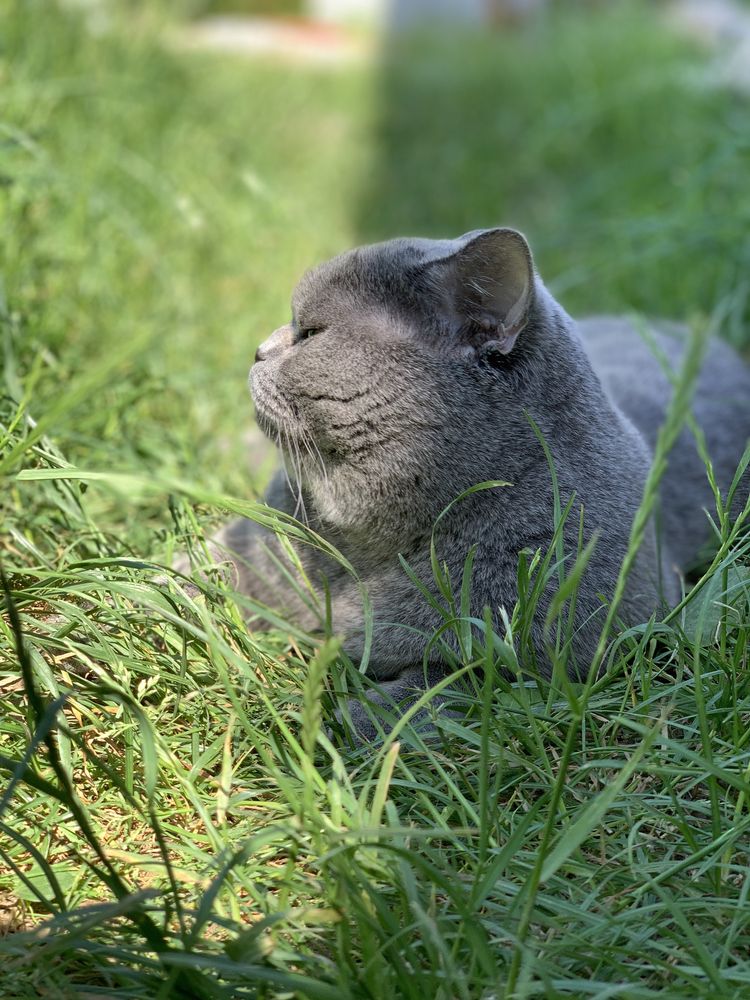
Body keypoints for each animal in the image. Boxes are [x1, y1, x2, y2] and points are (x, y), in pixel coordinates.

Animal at [187, 233, 750, 732]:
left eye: (311, 334)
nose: (257, 350)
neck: (370, 548)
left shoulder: (584, 643)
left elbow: (457, 681)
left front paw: (348, 718)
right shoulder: (259, 543)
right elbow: (200, 574)